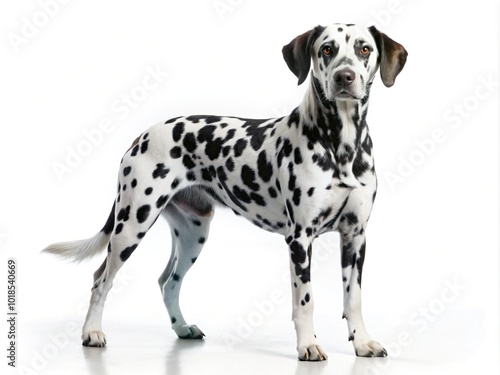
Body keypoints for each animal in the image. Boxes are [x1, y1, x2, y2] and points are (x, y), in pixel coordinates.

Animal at [43, 22, 408, 362]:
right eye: (327, 49)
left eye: (363, 49)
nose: (345, 77)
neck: (340, 146)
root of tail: (142, 135)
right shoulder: (300, 240)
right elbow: (305, 301)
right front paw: (308, 345)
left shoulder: (355, 236)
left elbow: (353, 299)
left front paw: (362, 342)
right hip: (132, 225)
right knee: (100, 278)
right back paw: (91, 332)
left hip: (194, 232)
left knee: (168, 281)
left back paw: (182, 327)